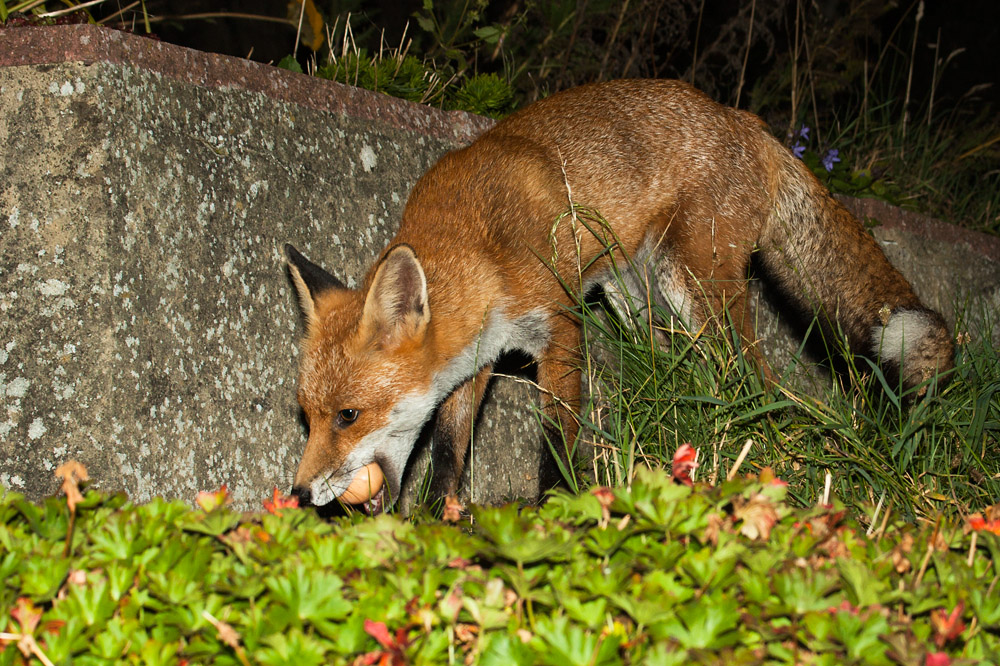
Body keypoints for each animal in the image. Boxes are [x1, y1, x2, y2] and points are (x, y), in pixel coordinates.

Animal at [285, 78, 954, 511]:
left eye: (348, 416)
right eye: (309, 417)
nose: (298, 492)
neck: (478, 243)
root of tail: (746, 120)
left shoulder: (559, 326)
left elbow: (557, 435)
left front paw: (553, 507)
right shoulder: (474, 360)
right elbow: (450, 451)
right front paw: (433, 518)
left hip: (695, 290)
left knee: (755, 382)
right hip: (635, 300)